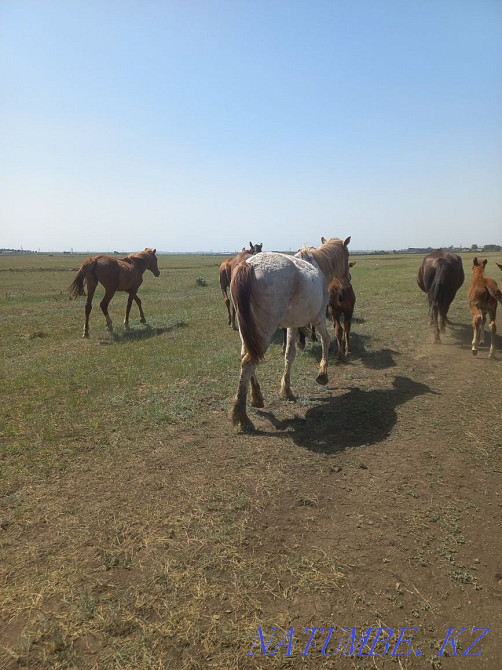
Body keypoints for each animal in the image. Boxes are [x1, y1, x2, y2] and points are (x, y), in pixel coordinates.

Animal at [230, 236, 351, 432]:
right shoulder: (319, 318)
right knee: (248, 362)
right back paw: (242, 417)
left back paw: (256, 398)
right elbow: (326, 339)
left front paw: (286, 390)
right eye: (347, 255)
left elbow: (289, 354)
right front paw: (323, 374)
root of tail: (248, 266)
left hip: (247, 330)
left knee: (246, 357)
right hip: (264, 330)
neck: (318, 265)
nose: (348, 278)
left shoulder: (292, 325)